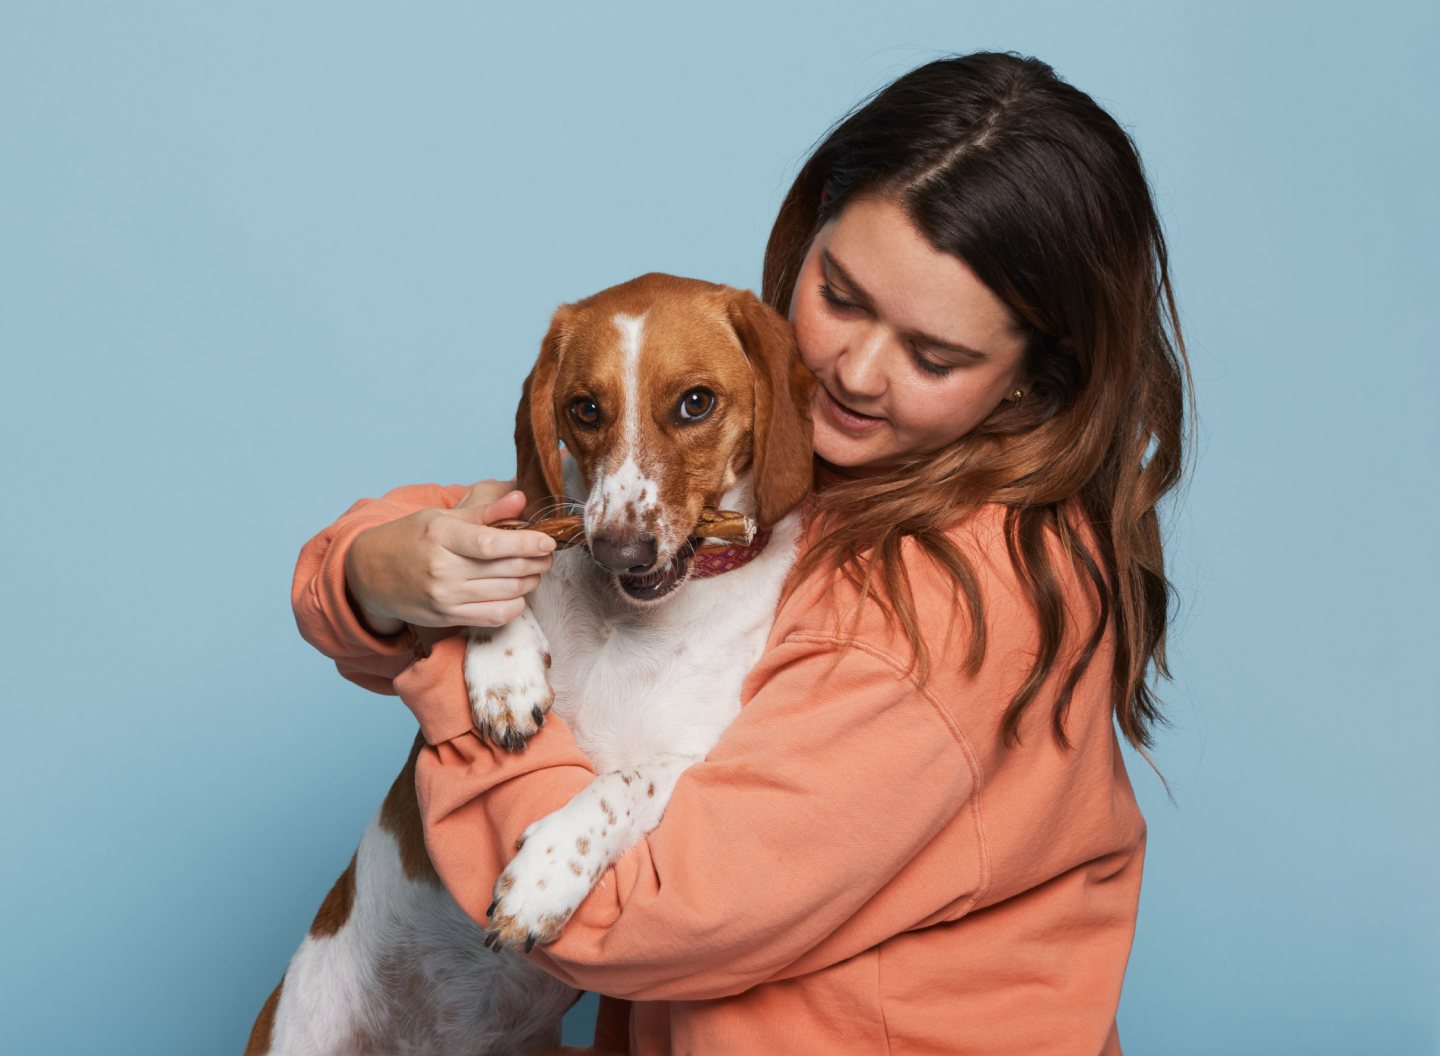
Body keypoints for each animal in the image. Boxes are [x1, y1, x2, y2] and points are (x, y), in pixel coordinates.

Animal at [244, 273, 812, 1054]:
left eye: (696, 402)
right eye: (585, 408)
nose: (618, 551)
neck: (620, 620)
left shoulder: (696, 762)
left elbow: (620, 783)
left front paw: (545, 876)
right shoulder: (515, 524)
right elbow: (509, 551)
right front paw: (505, 671)